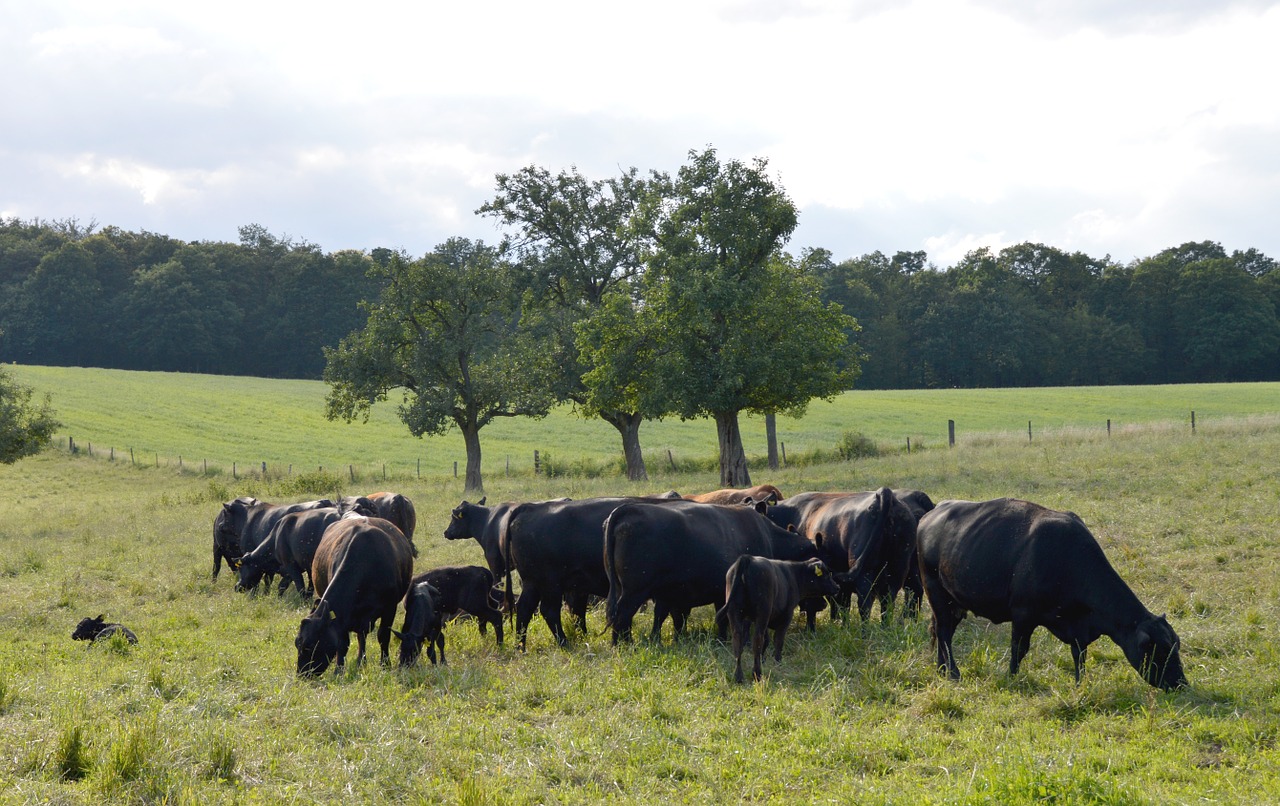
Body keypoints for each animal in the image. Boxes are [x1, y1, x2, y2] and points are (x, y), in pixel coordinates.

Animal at [293, 514, 409, 680]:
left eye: (308, 646)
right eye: (297, 643)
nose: (302, 674)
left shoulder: (390, 608)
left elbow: (383, 636)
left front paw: (385, 664)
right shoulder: (343, 616)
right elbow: (343, 644)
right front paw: (339, 671)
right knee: (361, 637)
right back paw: (361, 660)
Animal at [601, 501, 819, 647]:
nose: (821, 604)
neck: (768, 536)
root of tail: (628, 509)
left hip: (627, 589)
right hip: (634, 591)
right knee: (622, 617)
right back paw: (622, 645)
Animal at [716, 557, 844, 685]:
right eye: (826, 574)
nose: (837, 587)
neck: (795, 575)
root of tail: (748, 558)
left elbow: (767, 641)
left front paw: (764, 660)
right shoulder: (786, 617)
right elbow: (778, 641)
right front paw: (778, 662)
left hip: (734, 613)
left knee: (737, 642)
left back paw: (738, 676)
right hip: (762, 612)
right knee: (757, 640)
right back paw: (757, 674)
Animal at [762, 488, 916, 629]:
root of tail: (883, 493)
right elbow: (841, 605)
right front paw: (840, 626)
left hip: (865, 572)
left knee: (865, 605)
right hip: (898, 570)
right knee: (888, 603)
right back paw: (884, 629)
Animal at [916, 496, 1182, 690]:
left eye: (1176, 646)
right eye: (1158, 651)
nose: (1181, 683)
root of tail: (934, 511)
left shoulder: (1078, 629)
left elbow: (1079, 654)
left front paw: (1080, 684)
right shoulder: (1023, 615)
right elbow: (1019, 649)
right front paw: (1011, 677)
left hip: (954, 603)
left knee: (941, 632)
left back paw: (942, 670)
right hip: (937, 594)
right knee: (944, 632)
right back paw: (953, 672)